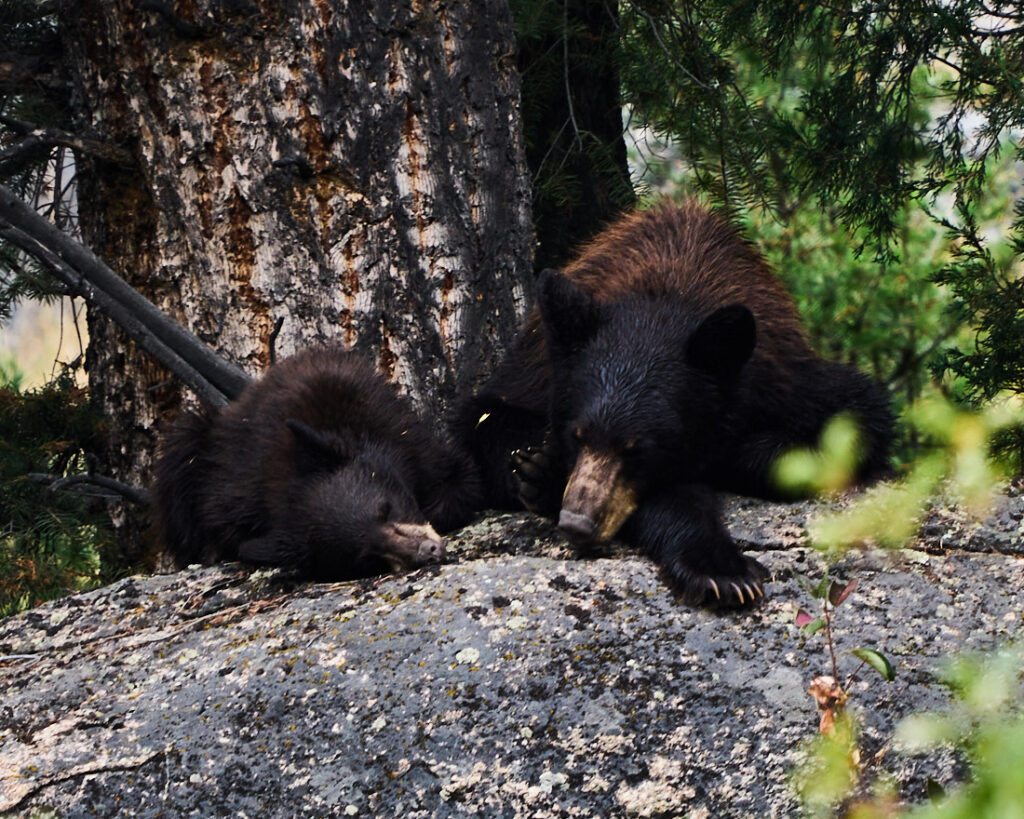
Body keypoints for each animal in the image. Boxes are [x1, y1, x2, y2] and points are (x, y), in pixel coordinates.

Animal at [455, 199, 894, 607]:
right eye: (576, 435)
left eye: (638, 448)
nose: (578, 522)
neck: (668, 291)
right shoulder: (534, 376)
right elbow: (484, 422)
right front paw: (721, 569)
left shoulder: (788, 380)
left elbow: (862, 415)